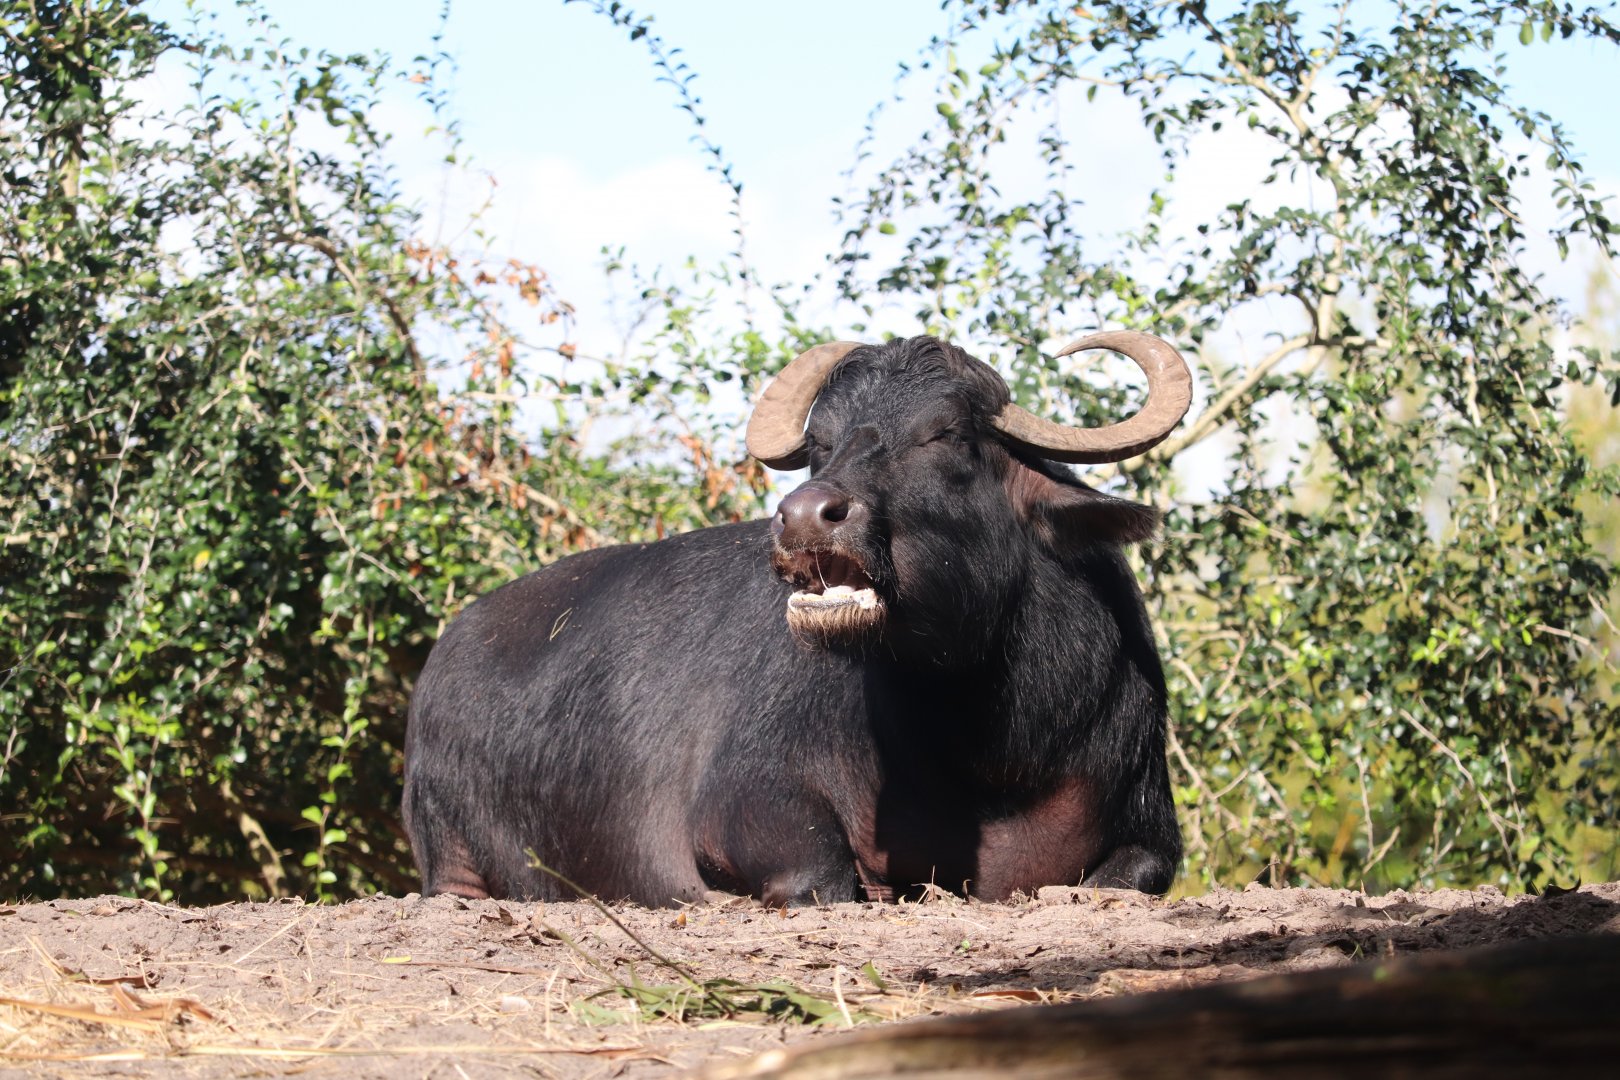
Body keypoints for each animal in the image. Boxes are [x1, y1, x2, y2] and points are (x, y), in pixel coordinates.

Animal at [403, 331, 1192, 905]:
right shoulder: (747, 801)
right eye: (821, 444)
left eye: (947, 435)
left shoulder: (1148, 818)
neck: (983, 752)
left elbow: (1140, 871)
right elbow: (822, 876)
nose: (806, 515)